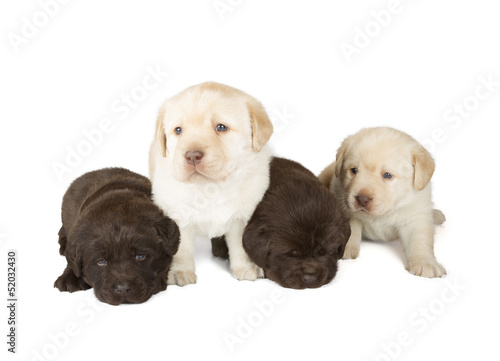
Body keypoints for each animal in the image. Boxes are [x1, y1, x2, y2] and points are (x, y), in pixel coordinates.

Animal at [148, 81, 274, 284]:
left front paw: (246, 267)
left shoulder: (242, 217)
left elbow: (241, 244)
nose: (192, 155)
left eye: (221, 127)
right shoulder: (178, 216)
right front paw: (180, 272)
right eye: (178, 130)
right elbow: (181, 249)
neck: (210, 187)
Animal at [318, 125, 448, 278]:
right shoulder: (344, 206)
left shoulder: (415, 216)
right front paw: (345, 249)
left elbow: (420, 240)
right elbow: (351, 229)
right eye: (354, 170)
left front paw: (425, 263)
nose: (362, 199)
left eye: (387, 175)